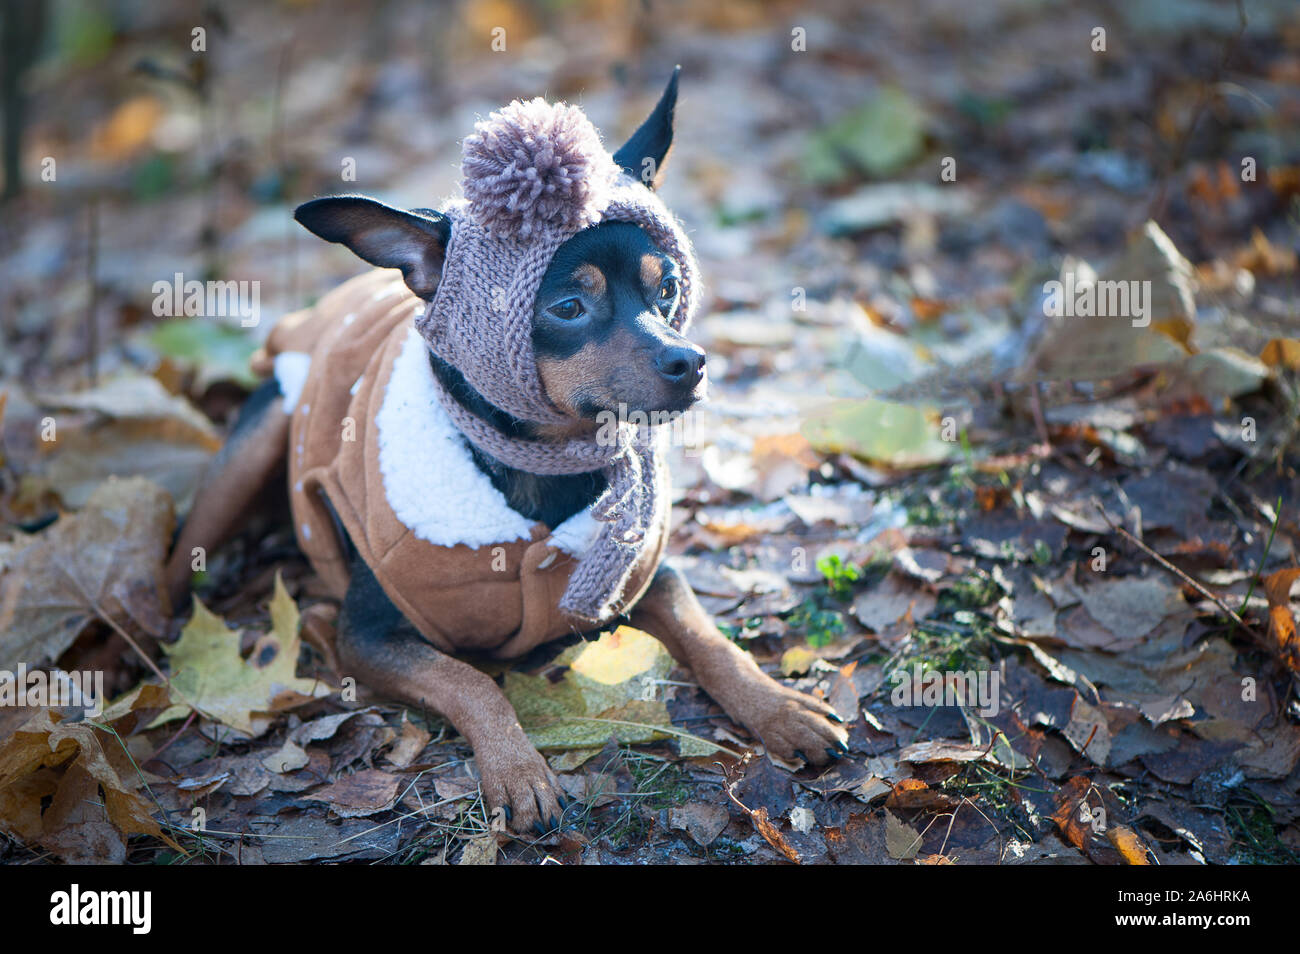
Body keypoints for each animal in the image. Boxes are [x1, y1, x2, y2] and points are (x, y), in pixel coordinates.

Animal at [165, 70, 852, 837]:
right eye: (567, 309)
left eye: (668, 286)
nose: (690, 361)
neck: (541, 465)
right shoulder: (366, 636)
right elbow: (469, 680)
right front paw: (518, 770)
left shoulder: (648, 572)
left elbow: (707, 633)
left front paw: (779, 707)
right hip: (251, 449)